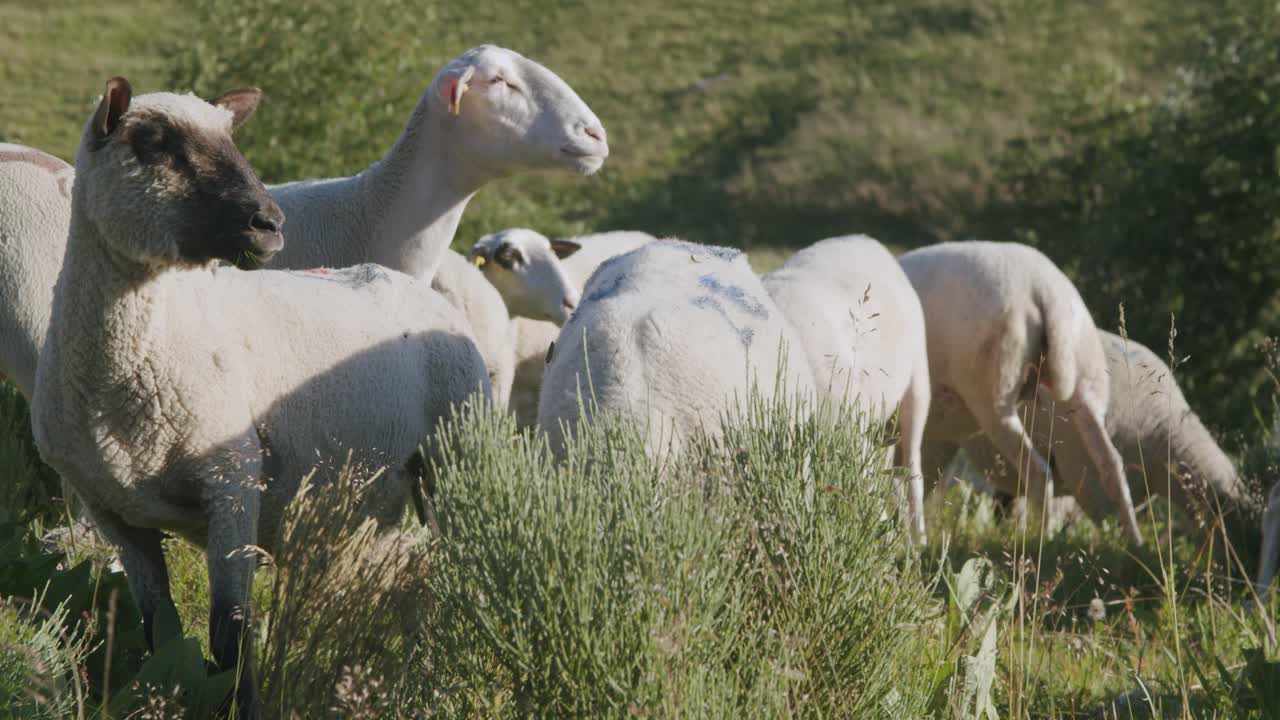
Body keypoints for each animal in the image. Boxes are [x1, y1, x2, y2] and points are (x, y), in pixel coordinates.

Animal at [32, 79, 490, 718]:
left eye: (233, 138)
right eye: (154, 142)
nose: (268, 224)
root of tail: (414, 287)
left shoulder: (232, 484)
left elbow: (231, 629)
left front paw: (243, 704)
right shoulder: (115, 514)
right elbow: (160, 630)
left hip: (455, 458)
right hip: (369, 500)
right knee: (406, 580)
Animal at [898, 240, 1144, 545]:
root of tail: (1043, 289)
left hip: (993, 395)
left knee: (1037, 473)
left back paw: (1042, 541)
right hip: (1086, 383)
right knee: (1112, 465)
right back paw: (1135, 542)